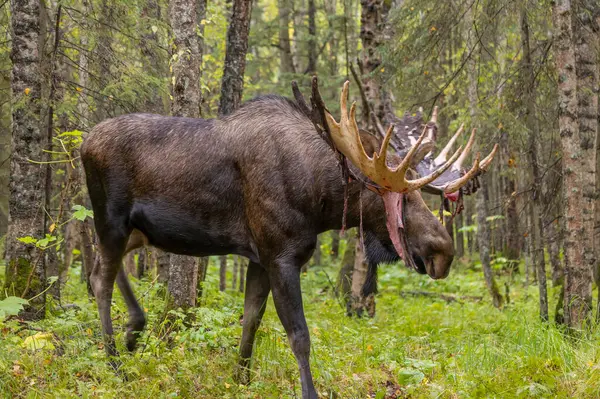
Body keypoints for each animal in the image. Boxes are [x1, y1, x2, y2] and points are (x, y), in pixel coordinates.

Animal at [81, 79, 496, 399]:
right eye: (398, 196)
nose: (443, 252)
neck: (320, 199)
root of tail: (83, 143)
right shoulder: (281, 255)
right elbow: (299, 335)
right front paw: (308, 391)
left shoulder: (258, 257)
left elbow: (251, 319)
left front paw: (240, 379)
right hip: (111, 219)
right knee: (100, 278)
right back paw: (114, 362)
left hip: (137, 231)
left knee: (101, 268)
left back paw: (134, 330)